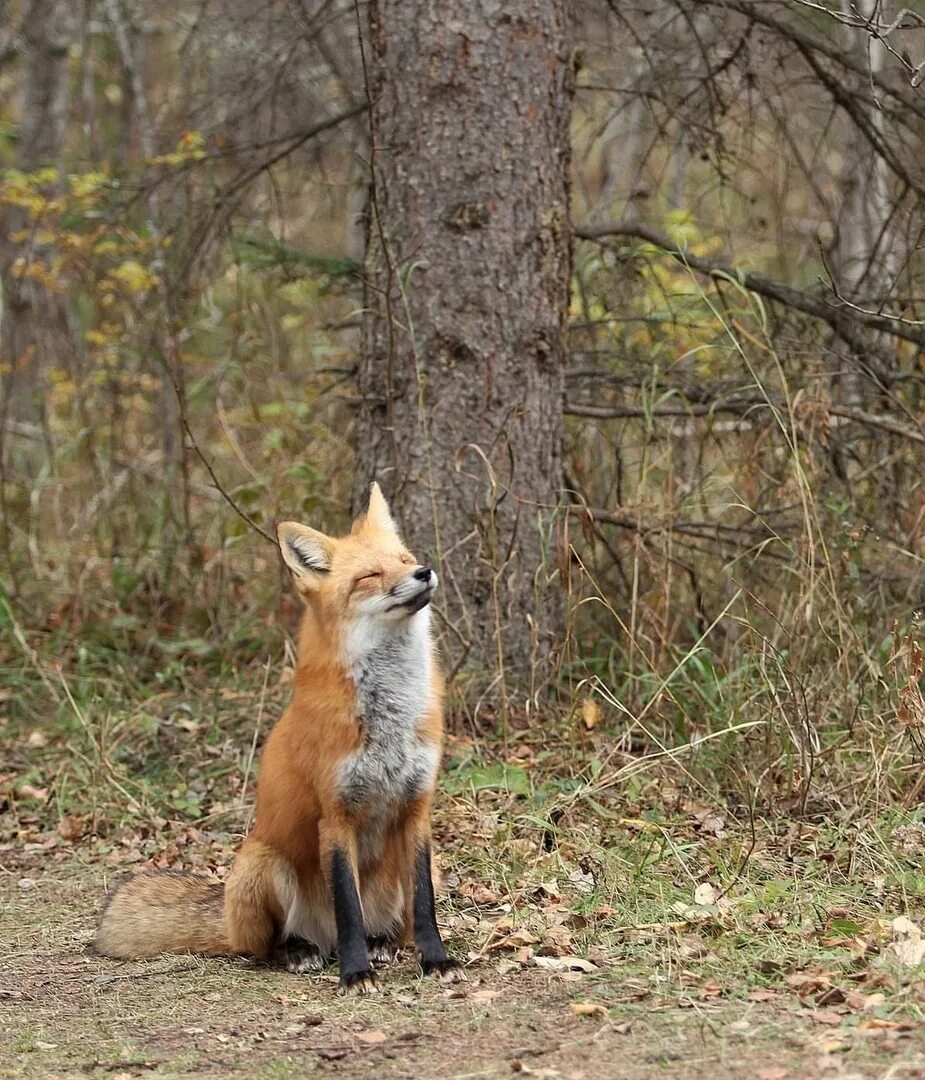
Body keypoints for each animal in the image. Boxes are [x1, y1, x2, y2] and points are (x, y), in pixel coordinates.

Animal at [92, 486, 456, 989]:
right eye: (369, 576)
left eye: (406, 560)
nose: (424, 572)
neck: (389, 716)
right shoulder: (334, 817)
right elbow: (348, 908)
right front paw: (354, 973)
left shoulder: (416, 809)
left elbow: (423, 905)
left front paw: (436, 960)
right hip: (259, 863)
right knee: (265, 947)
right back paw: (301, 951)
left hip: (423, 870)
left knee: (390, 924)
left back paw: (381, 943)